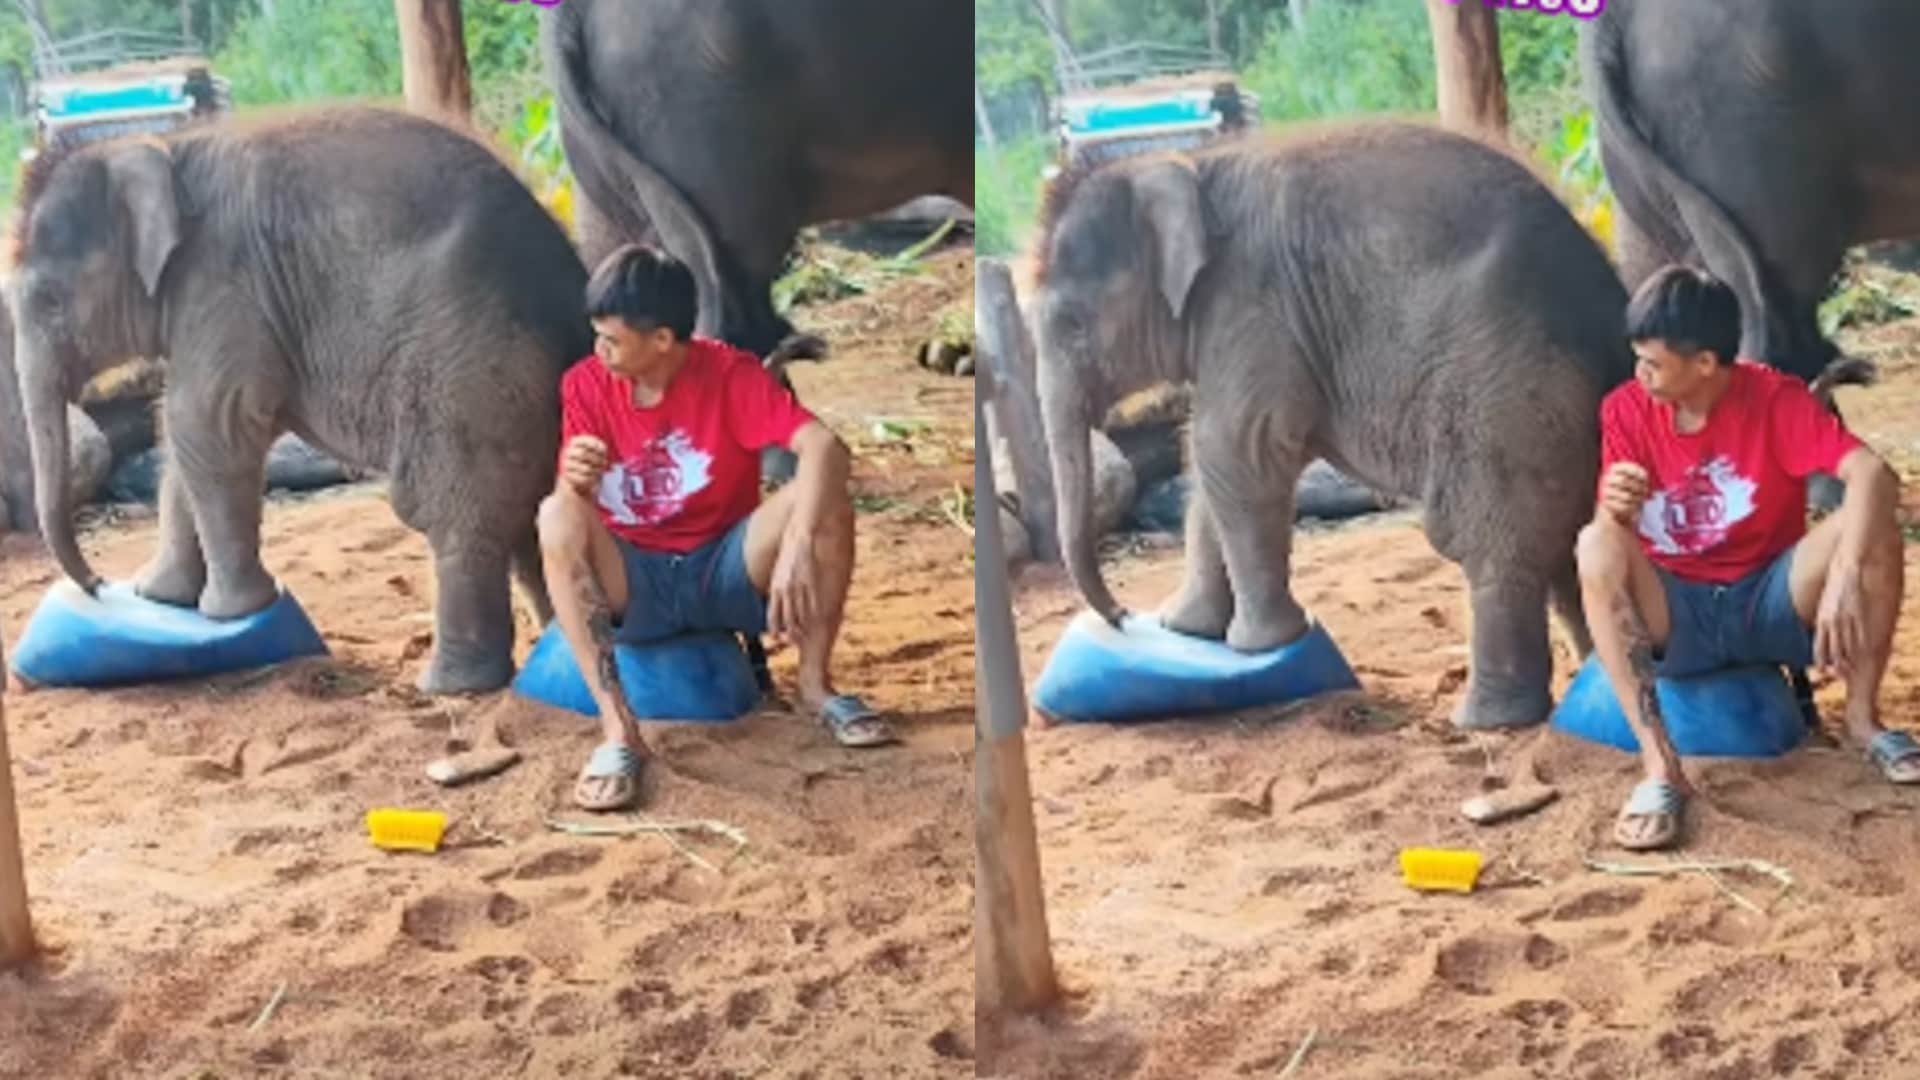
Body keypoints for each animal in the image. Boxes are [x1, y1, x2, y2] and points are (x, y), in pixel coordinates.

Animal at [9, 104, 593, 693]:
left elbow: (206, 424)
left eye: (50, 301)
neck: (162, 147)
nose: (97, 583)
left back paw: (449, 686)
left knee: (453, 511)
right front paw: (158, 596)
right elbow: (180, 436)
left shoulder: (224, 284)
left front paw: (232, 610)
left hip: (471, 371)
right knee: (523, 516)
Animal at [1030, 121, 1638, 730]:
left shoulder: (1253, 307)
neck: (1187, 164)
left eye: (1073, 324)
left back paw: (1484, 721)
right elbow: (1208, 463)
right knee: (1563, 544)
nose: (1120, 615)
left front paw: (1260, 643)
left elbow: (1233, 450)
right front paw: (1183, 629)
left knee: (1489, 540)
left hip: (1506, 396)